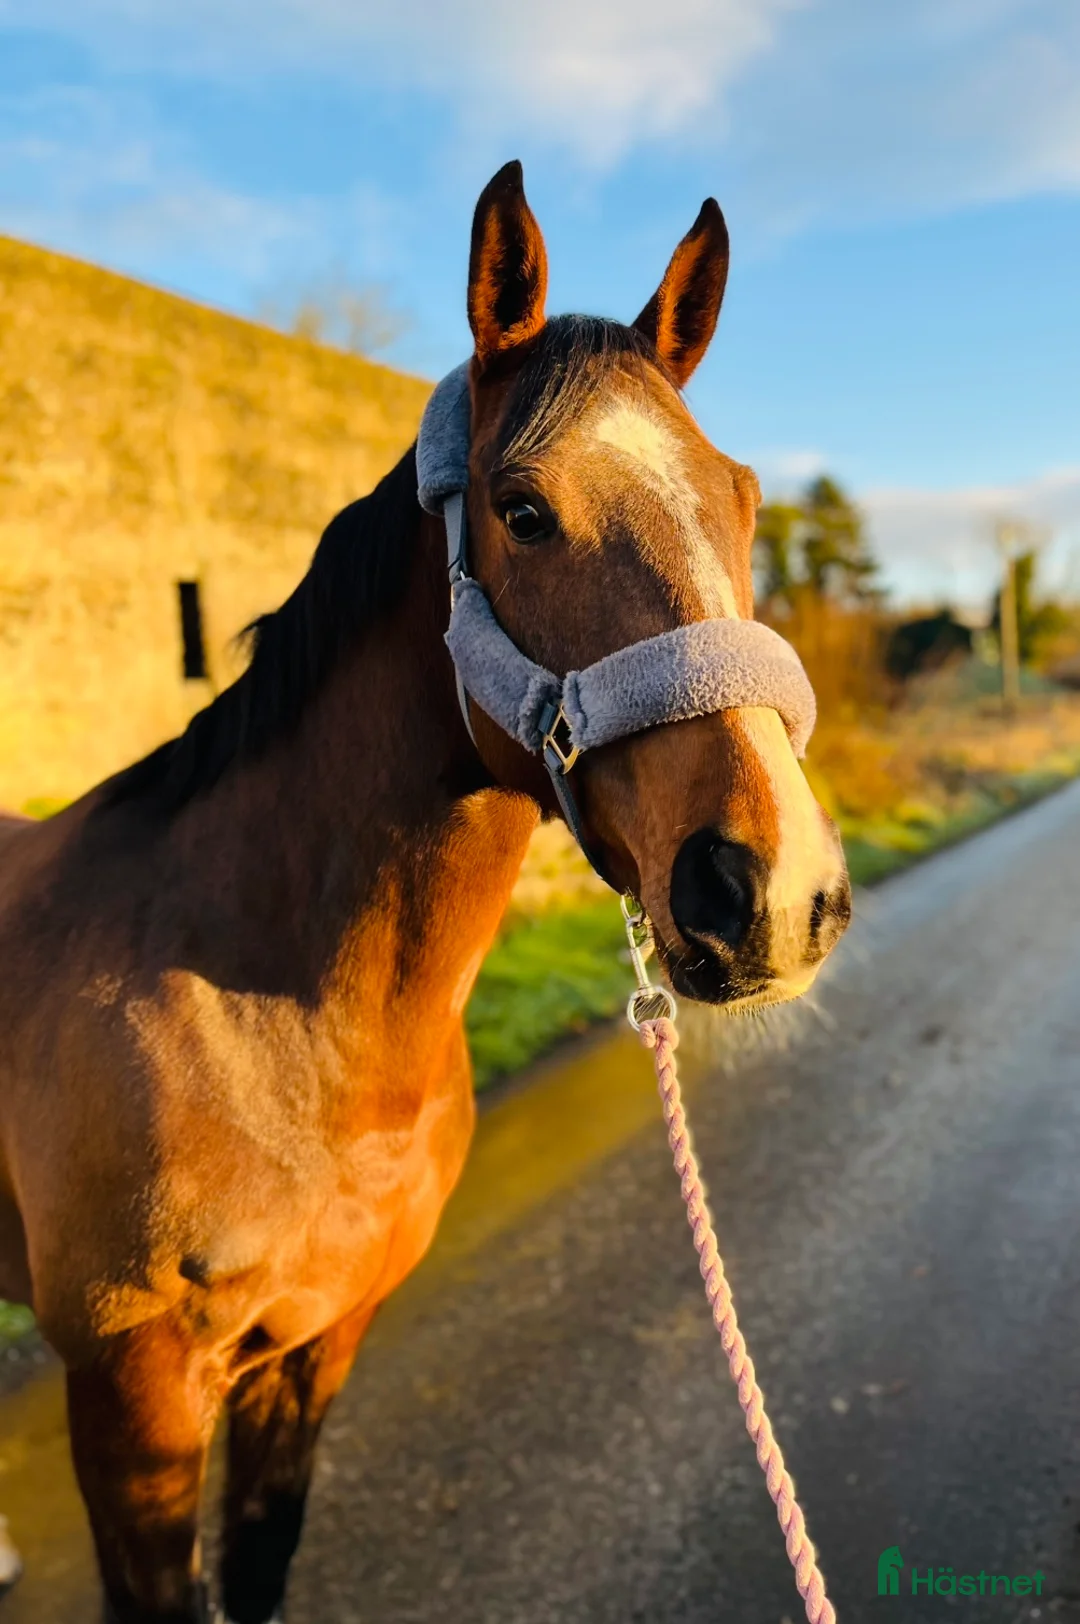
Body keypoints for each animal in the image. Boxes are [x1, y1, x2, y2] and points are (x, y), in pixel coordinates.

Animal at [0, 161, 851, 1623]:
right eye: (520, 508)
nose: (775, 891)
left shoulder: (315, 1347)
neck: (274, 1033)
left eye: (742, 500)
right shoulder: (130, 1401)